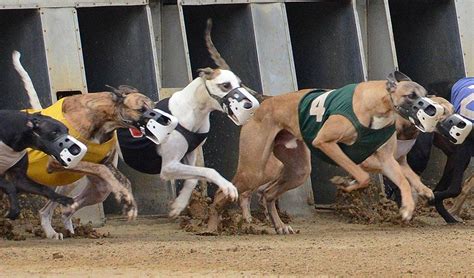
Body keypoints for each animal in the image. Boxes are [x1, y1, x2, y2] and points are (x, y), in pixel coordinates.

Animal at [13, 53, 159, 240]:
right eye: (141, 109)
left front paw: (128, 202)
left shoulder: (106, 163)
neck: (102, 119)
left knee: (66, 207)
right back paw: (52, 231)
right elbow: (101, 169)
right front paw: (124, 196)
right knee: (46, 210)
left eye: (154, 107)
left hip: (94, 188)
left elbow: (123, 180)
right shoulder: (57, 162)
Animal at [207, 70, 444, 233]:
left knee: (268, 193)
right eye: (411, 95)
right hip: (254, 168)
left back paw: (280, 226)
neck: (377, 105)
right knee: (224, 193)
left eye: (425, 94)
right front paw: (345, 182)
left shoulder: (386, 159)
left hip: (299, 170)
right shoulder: (326, 143)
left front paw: (409, 205)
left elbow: (402, 178)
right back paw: (211, 227)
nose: (431, 109)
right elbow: (363, 176)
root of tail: (266, 101)